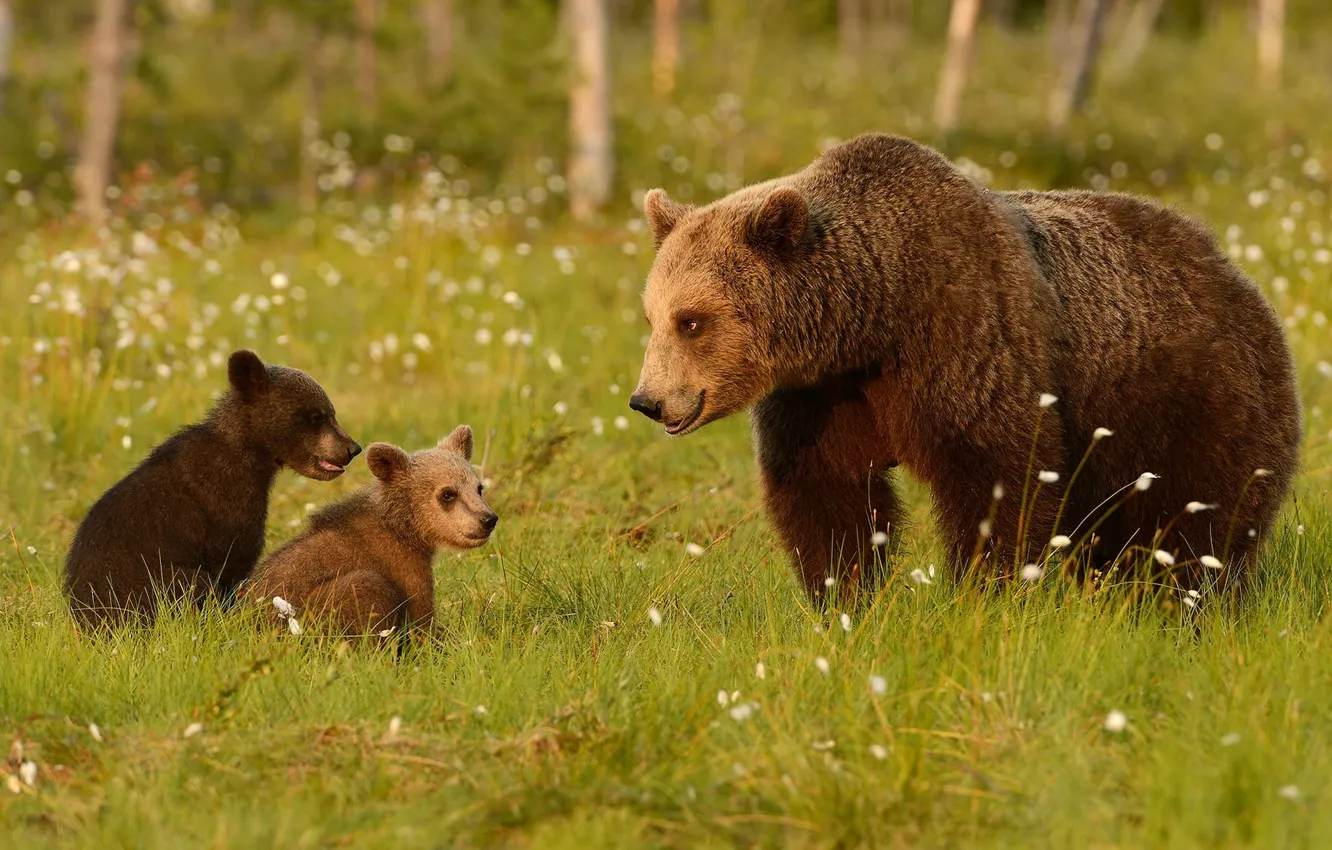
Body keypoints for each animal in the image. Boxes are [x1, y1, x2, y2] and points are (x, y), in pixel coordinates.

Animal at [626, 131, 1300, 599]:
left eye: (692, 320)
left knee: (1198, 524)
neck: (873, 320)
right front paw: (846, 596)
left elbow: (999, 476)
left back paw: (1184, 601)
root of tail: (1234, 269)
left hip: (1189, 400)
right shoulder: (821, 396)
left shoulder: (962, 341)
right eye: (652, 315)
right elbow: (825, 493)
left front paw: (983, 591)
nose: (648, 400)